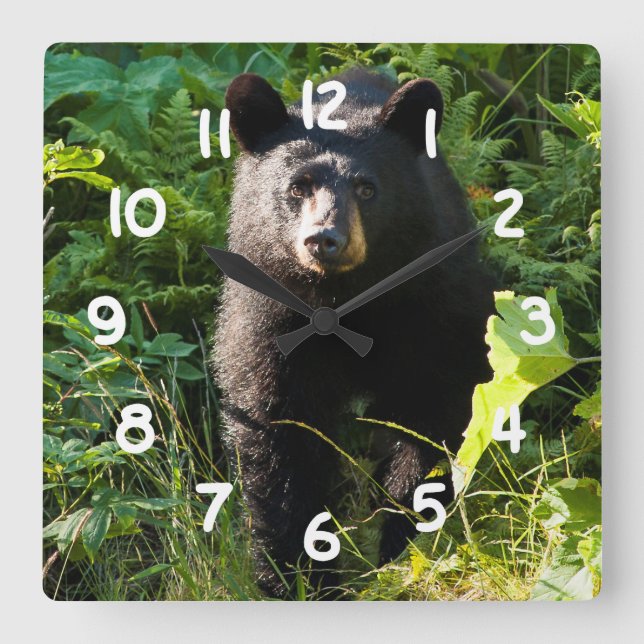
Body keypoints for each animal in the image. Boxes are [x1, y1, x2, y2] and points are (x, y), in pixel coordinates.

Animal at [211, 69, 495, 598]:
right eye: (297, 187)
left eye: (366, 188)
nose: (325, 239)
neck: (341, 301)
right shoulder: (269, 318)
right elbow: (279, 433)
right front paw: (297, 576)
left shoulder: (432, 309)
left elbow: (428, 417)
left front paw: (401, 546)